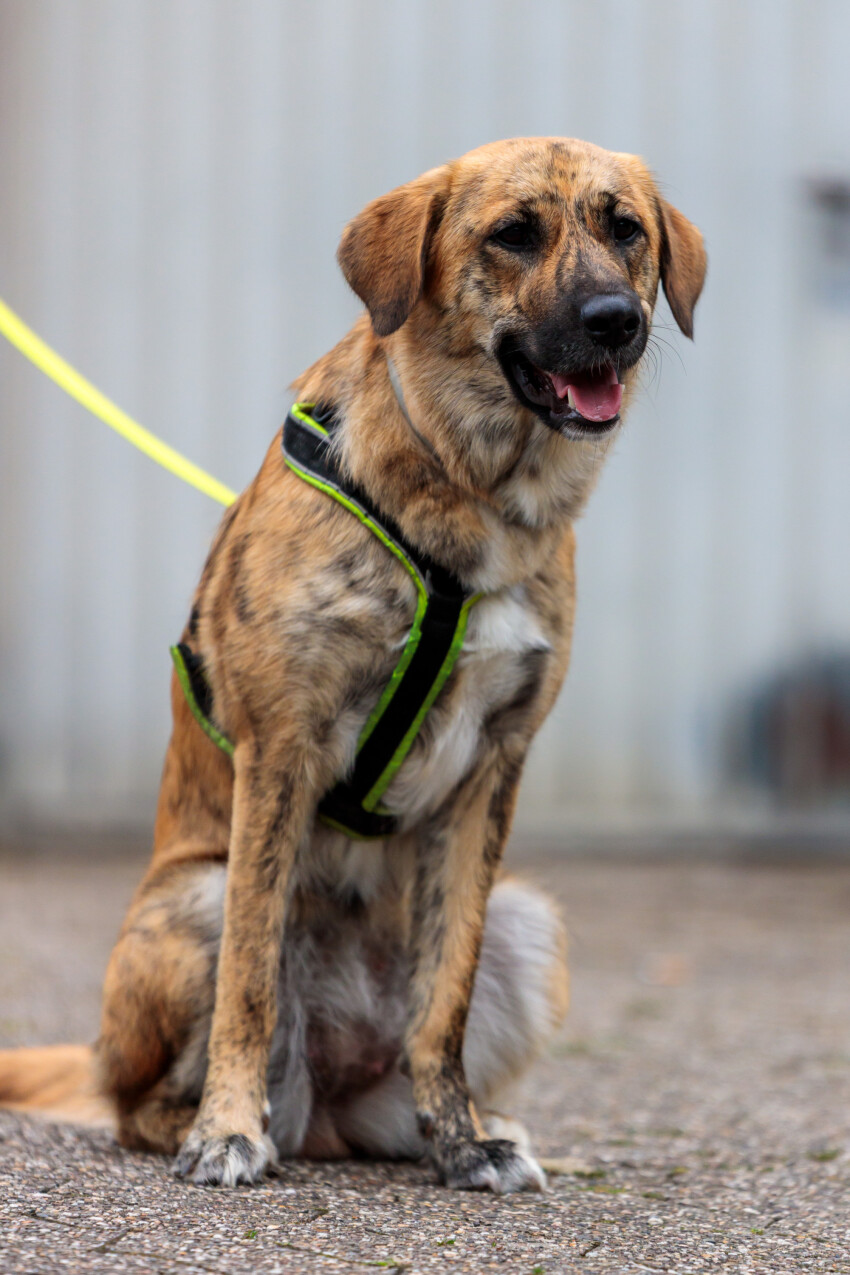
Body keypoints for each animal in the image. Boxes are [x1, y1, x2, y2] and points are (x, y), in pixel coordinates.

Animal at [0, 139, 703, 1193]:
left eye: (626, 230)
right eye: (514, 234)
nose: (617, 323)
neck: (470, 486)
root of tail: (326, 1096)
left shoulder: (494, 770)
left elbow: (444, 994)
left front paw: (462, 1140)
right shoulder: (281, 750)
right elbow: (251, 977)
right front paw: (227, 1128)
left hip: (530, 923)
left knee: (406, 1049)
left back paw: (454, 1125)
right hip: (191, 902)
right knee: (142, 1103)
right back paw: (212, 1119)